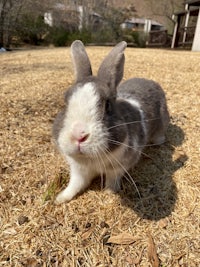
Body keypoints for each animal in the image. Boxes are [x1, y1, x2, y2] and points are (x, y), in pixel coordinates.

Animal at [52, 40, 170, 205]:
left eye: (107, 105)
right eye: (65, 103)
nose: (79, 136)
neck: (91, 159)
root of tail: (152, 82)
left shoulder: (118, 168)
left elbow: (112, 180)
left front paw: (109, 193)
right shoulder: (78, 171)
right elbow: (75, 184)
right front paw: (60, 198)